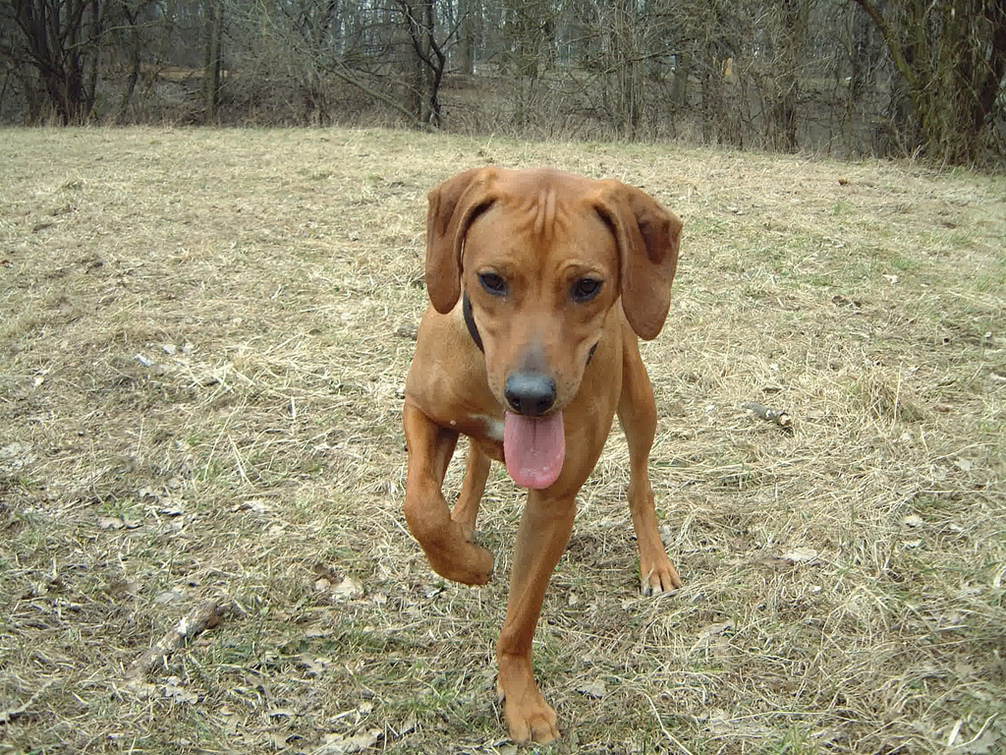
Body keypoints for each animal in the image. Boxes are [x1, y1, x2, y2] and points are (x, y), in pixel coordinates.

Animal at [402, 167, 684, 744]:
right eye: (491, 280)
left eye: (587, 286)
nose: (530, 397)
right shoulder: (422, 408)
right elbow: (420, 507)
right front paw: (466, 564)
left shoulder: (554, 503)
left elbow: (521, 618)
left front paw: (521, 699)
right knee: (476, 463)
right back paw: (464, 520)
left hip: (639, 399)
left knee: (639, 482)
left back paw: (654, 560)